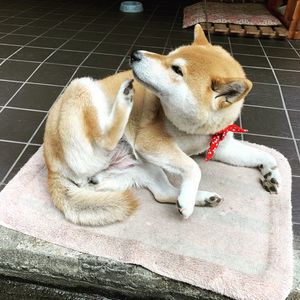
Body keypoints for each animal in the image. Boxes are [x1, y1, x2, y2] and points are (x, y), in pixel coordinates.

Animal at [43, 25, 280, 225]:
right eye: (169, 55)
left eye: (176, 69)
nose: (135, 54)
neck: (196, 130)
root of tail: (52, 168)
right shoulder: (150, 142)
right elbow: (193, 166)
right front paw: (188, 198)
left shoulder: (221, 146)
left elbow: (265, 155)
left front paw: (271, 172)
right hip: (81, 86)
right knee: (105, 139)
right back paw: (125, 97)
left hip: (144, 168)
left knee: (163, 194)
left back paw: (202, 198)